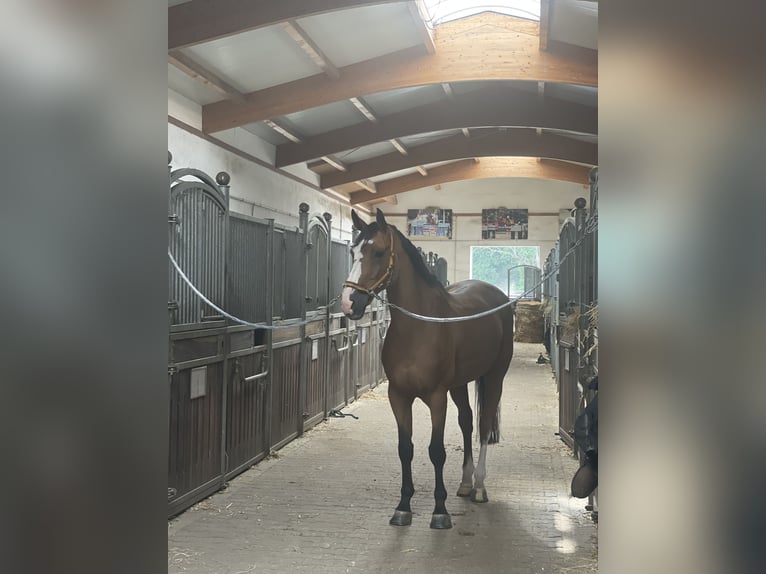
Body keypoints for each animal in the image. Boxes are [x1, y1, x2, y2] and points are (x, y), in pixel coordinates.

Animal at [341, 209, 514, 530]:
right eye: (353, 252)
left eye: (378, 252)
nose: (349, 304)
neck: (419, 327)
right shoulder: (398, 396)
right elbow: (405, 449)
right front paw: (403, 507)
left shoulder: (436, 397)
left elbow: (436, 451)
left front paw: (440, 512)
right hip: (459, 385)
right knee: (467, 422)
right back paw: (465, 484)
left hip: (494, 377)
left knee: (484, 426)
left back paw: (479, 487)